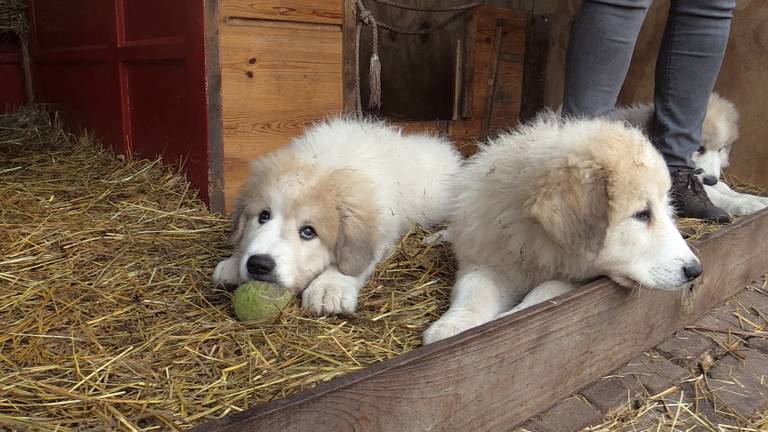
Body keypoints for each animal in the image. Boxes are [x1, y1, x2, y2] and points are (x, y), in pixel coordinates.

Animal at [213, 117, 460, 314]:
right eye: (263, 216)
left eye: (308, 232)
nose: (258, 264)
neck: (326, 162)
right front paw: (233, 263)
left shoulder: (381, 237)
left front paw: (328, 287)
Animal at [426, 115, 704, 344]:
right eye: (642, 214)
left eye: (659, 209)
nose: (695, 271)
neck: (538, 244)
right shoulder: (490, 259)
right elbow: (473, 288)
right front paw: (451, 327)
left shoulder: (574, 280)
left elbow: (546, 291)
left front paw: (506, 320)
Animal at [612, 94, 768, 216]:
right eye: (699, 148)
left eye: (720, 149)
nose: (711, 180)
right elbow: (715, 194)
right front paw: (746, 205)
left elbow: (724, 187)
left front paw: (757, 199)